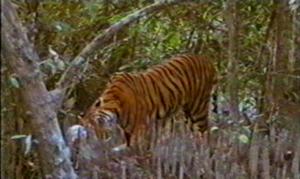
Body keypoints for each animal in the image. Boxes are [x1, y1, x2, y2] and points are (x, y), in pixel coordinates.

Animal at [81, 54, 217, 147]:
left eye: (98, 123)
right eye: (90, 132)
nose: (102, 139)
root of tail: (207, 59)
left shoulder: (139, 127)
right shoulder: (127, 130)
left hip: (198, 109)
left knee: (205, 132)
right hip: (187, 113)